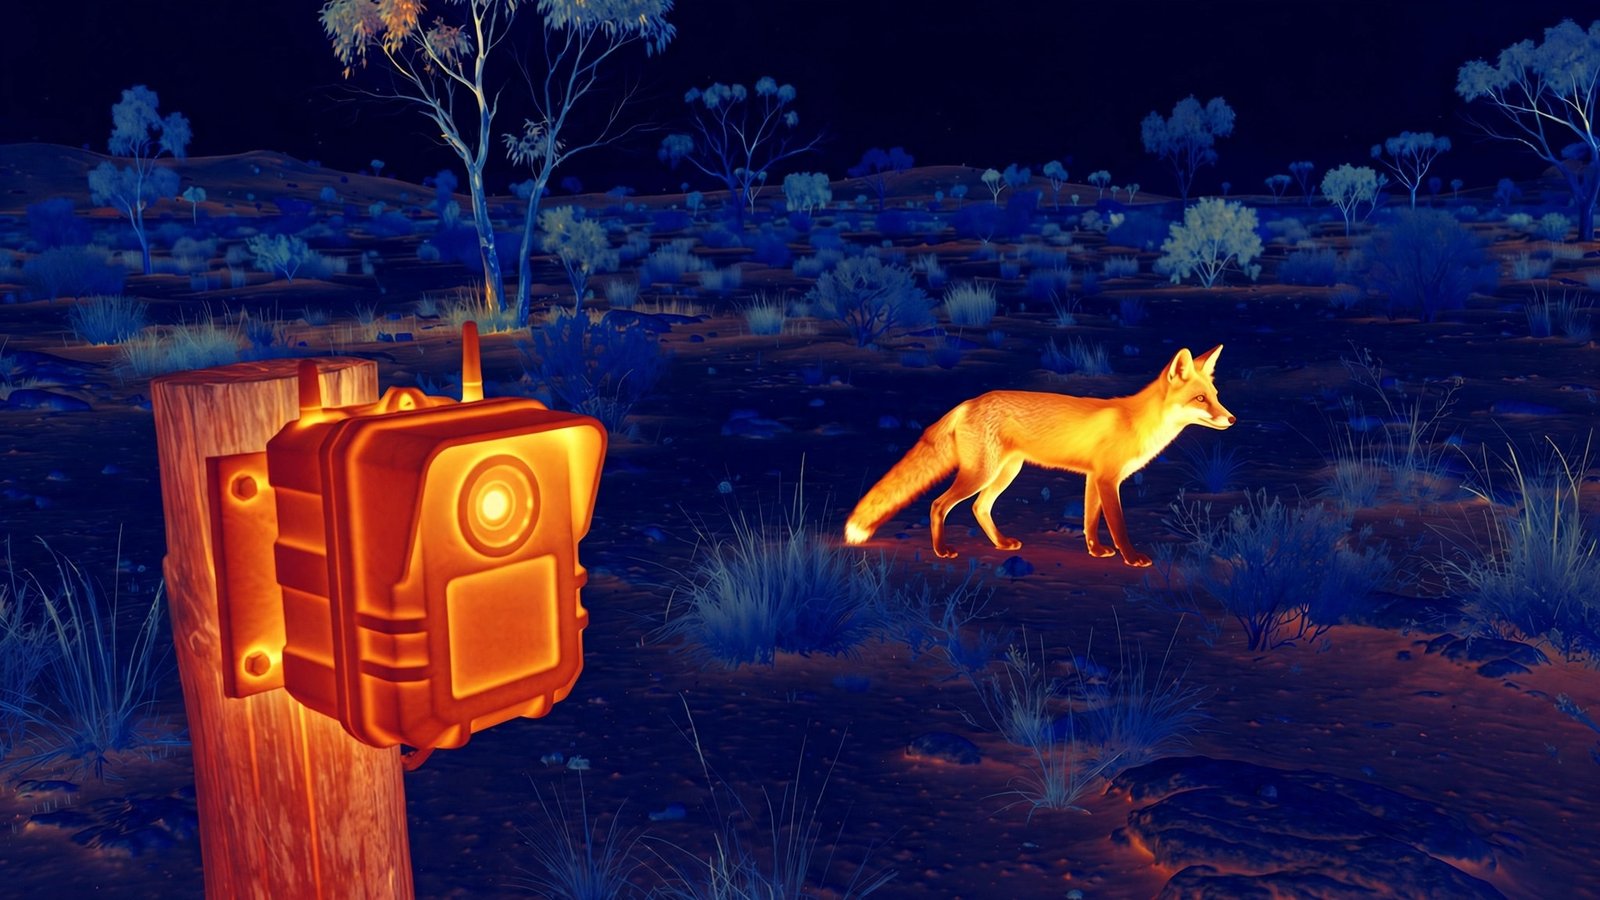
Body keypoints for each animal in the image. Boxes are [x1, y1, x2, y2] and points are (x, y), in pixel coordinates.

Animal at [843, 345, 1235, 566]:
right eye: (1200, 399)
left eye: (1215, 396)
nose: (1231, 419)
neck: (1137, 422)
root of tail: (968, 402)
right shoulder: (1108, 479)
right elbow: (1119, 526)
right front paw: (1131, 558)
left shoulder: (1094, 478)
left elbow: (1090, 522)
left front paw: (1095, 551)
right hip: (981, 473)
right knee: (939, 505)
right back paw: (942, 551)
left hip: (1006, 472)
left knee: (979, 507)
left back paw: (1002, 544)